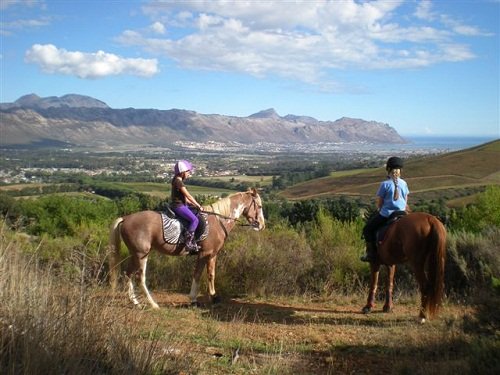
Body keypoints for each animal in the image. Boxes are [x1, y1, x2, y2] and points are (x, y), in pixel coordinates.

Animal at [108, 188, 266, 308]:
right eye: (259, 206)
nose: (261, 225)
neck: (219, 220)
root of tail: (125, 218)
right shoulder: (205, 254)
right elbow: (199, 275)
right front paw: (196, 299)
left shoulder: (212, 254)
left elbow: (210, 274)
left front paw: (211, 297)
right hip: (141, 254)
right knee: (140, 277)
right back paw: (153, 304)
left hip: (134, 254)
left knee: (127, 274)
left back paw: (135, 302)